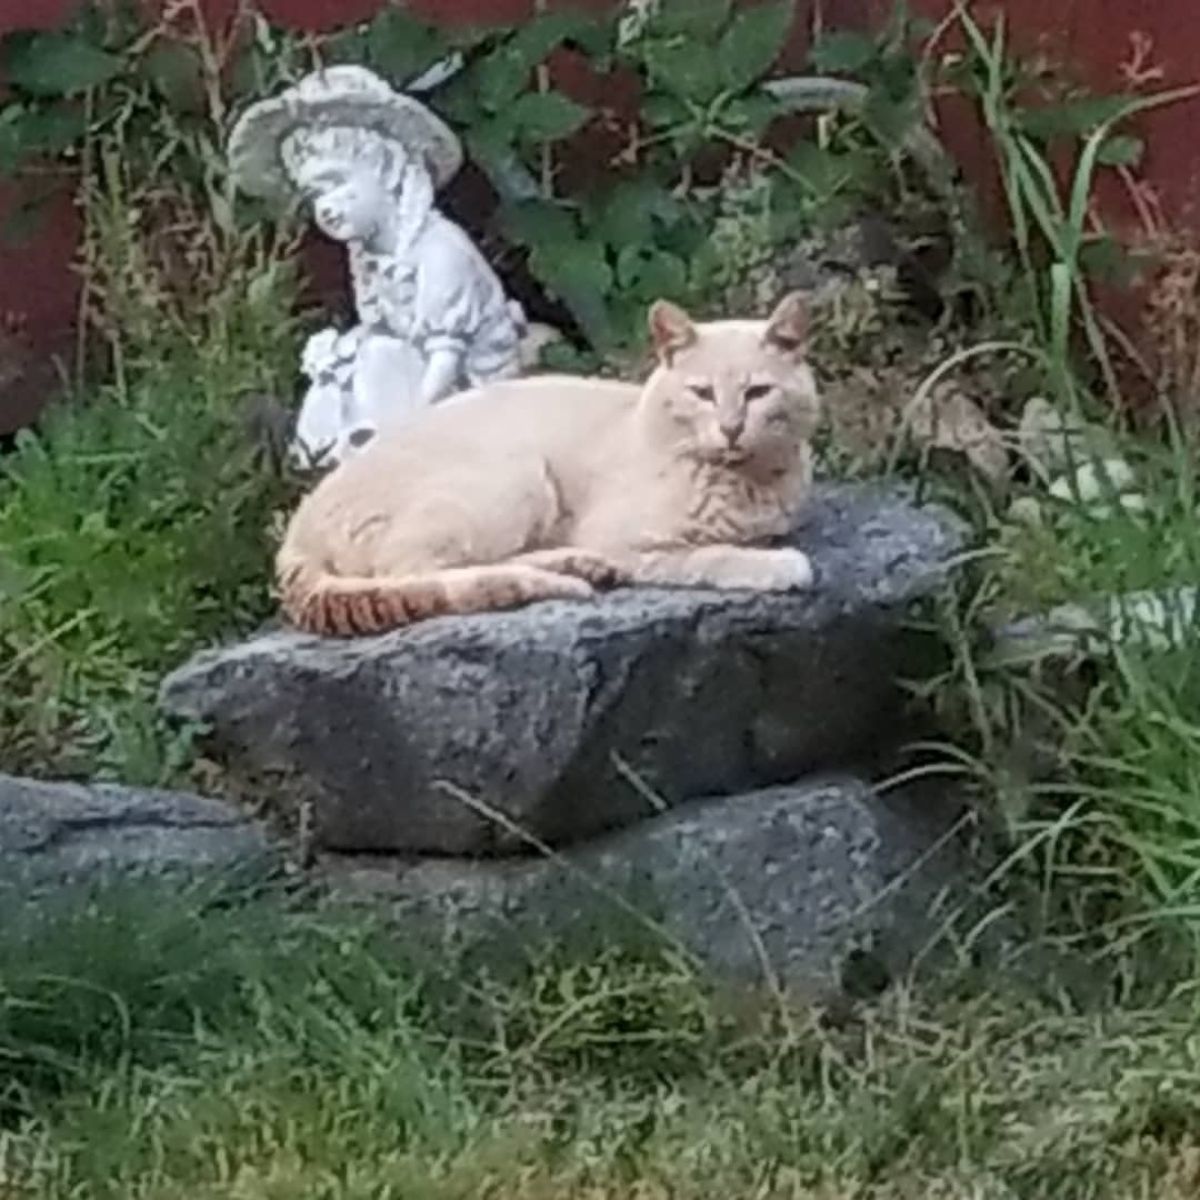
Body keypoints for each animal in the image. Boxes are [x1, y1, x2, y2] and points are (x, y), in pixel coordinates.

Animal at [279, 292, 820, 638]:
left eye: (757, 392)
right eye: (702, 393)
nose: (731, 428)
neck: (749, 482)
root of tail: (295, 532)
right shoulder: (629, 540)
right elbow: (709, 555)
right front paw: (778, 564)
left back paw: (580, 565)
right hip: (513, 475)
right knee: (420, 575)